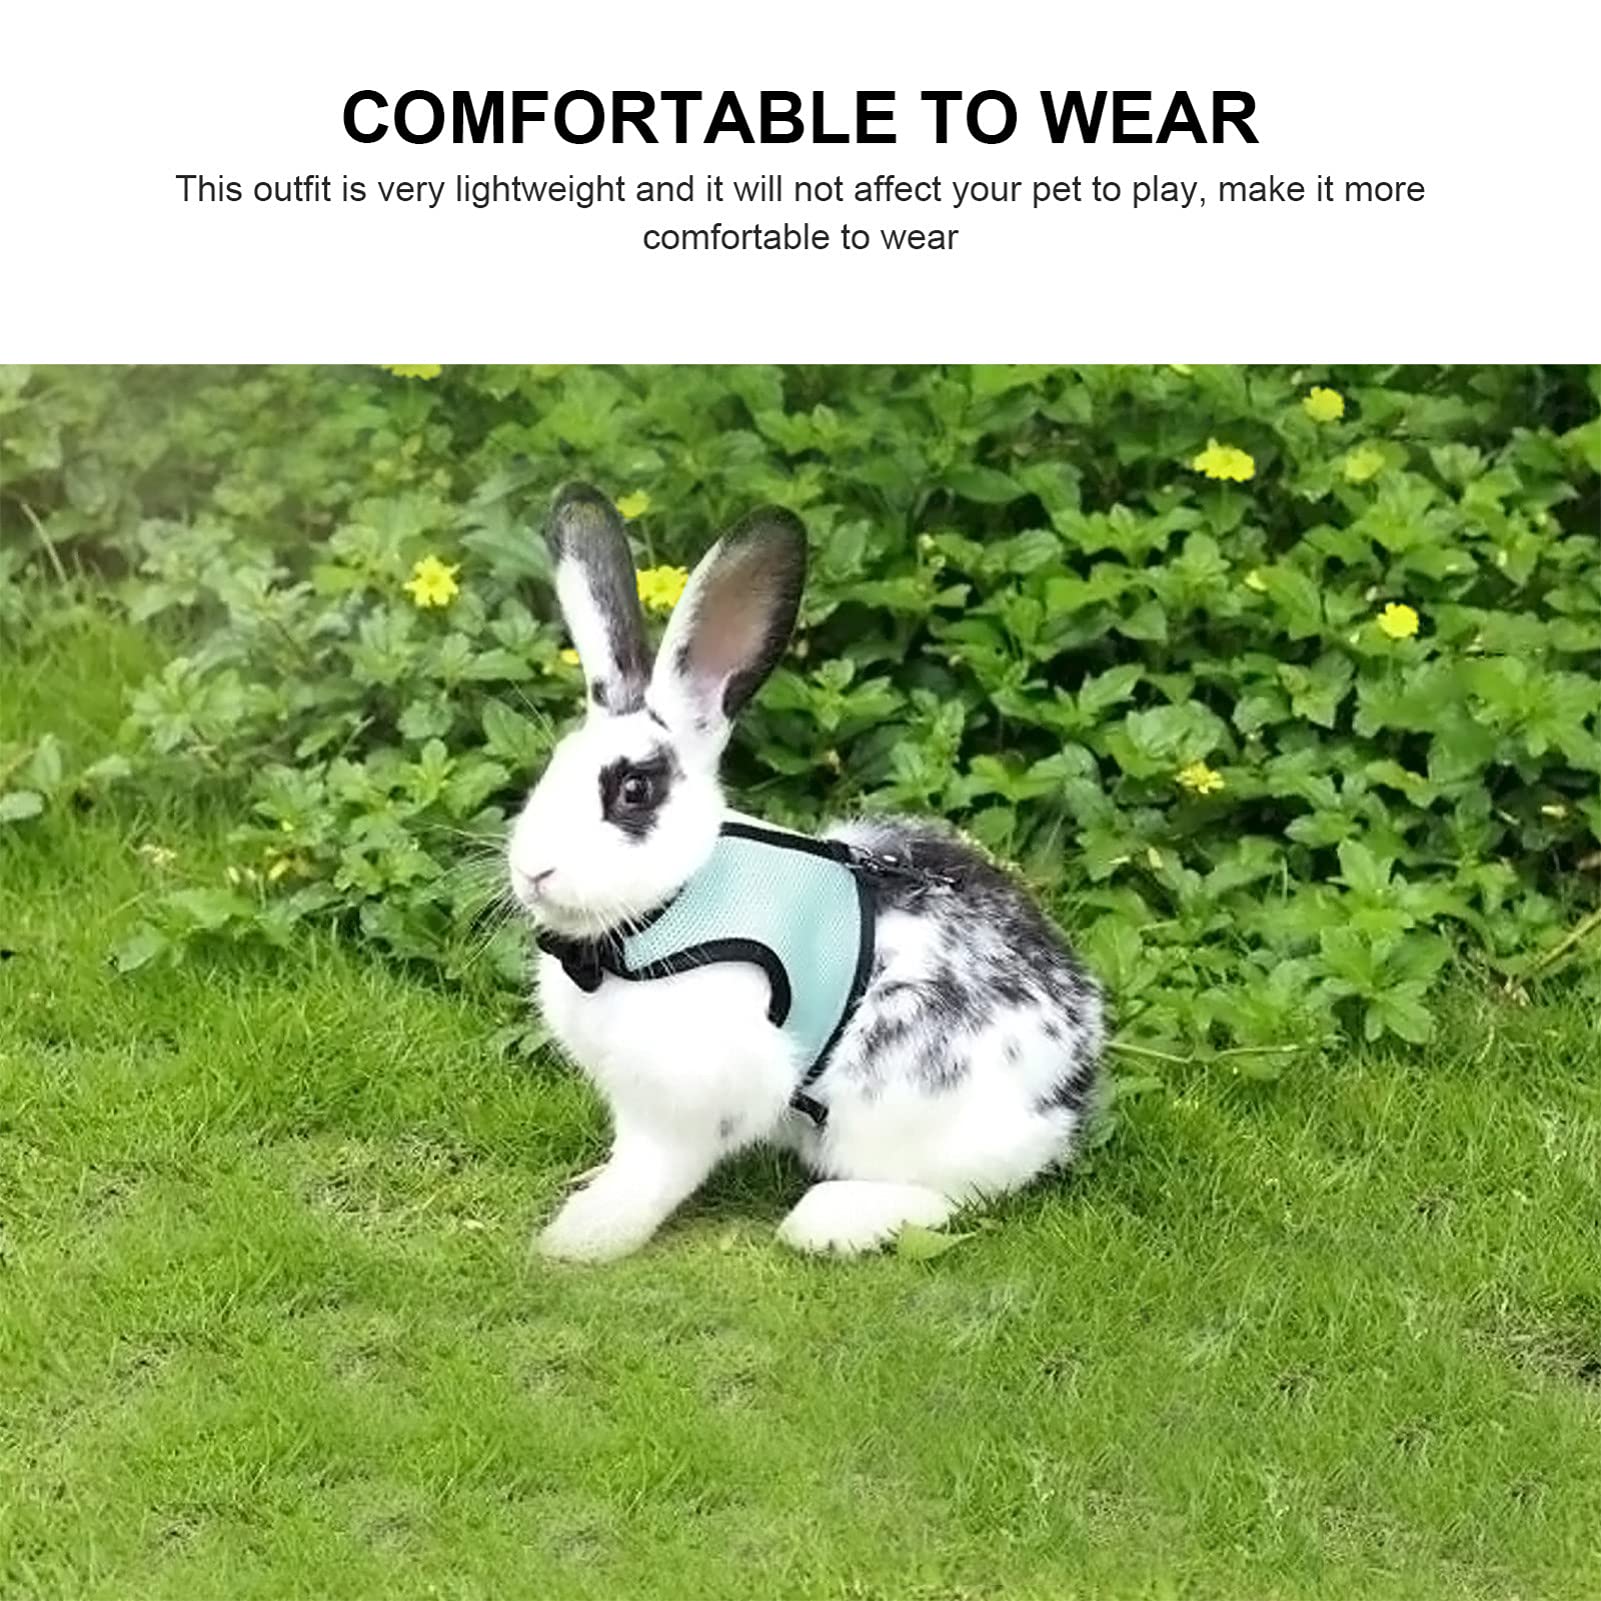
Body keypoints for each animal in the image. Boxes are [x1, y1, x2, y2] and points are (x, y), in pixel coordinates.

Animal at [507, 483, 1104, 1261]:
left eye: (633, 791)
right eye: (551, 768)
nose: (531, 869)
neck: (663, 913)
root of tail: (1070, 1090)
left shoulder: (694, 1101)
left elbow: (651, 1173)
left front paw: (579, 1239)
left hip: (899, 1114)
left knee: (954, 1197)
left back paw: (829, 1220)